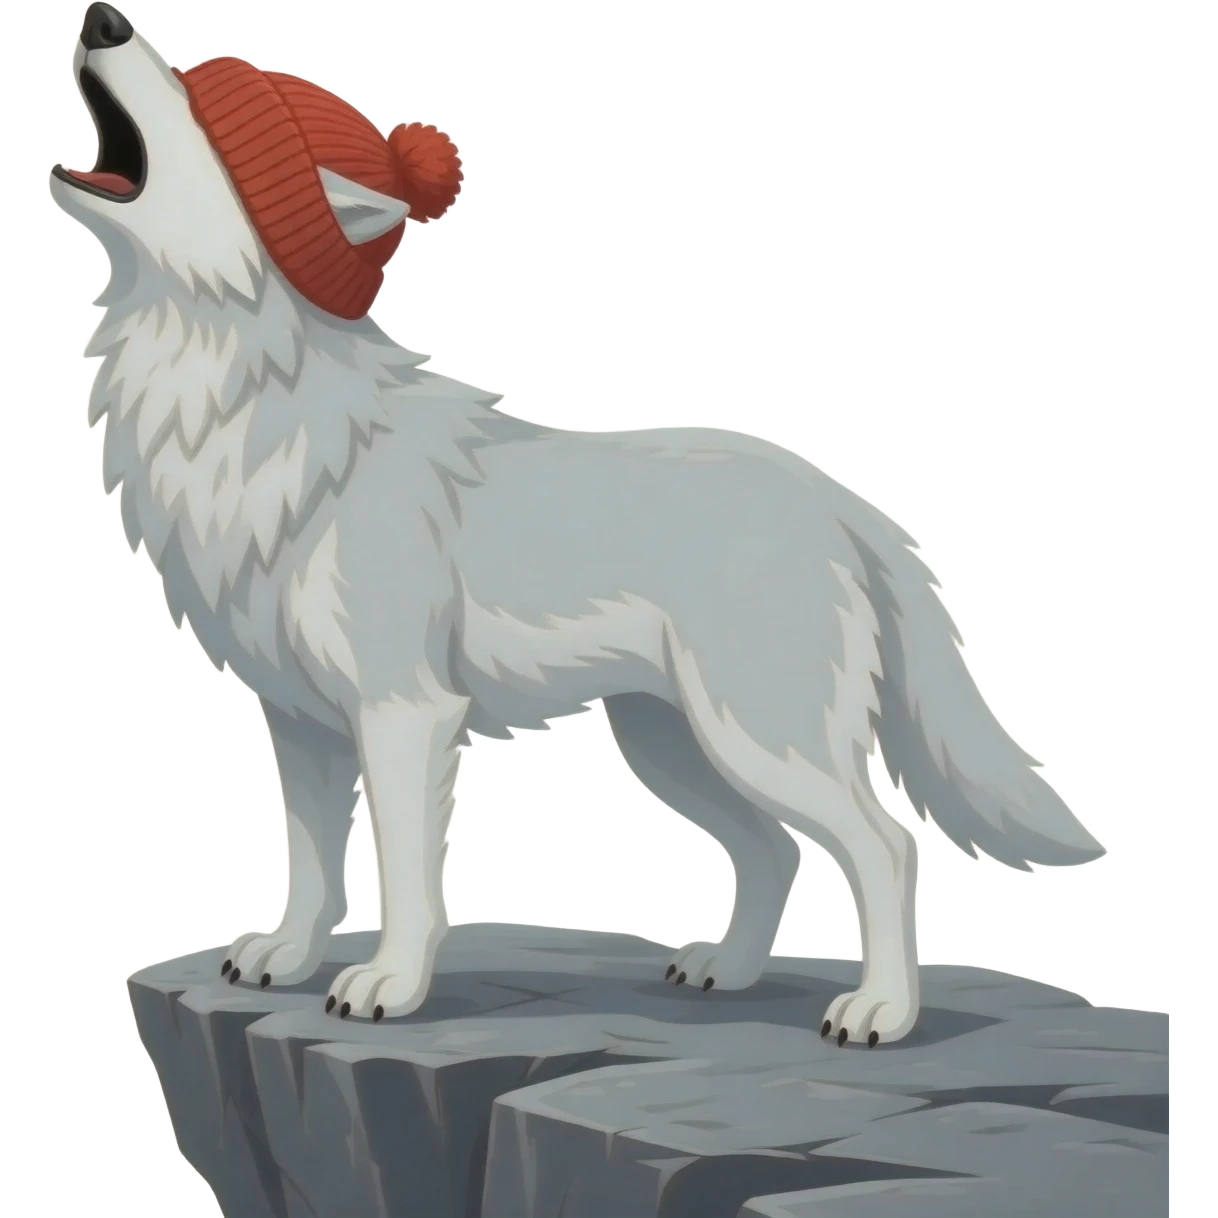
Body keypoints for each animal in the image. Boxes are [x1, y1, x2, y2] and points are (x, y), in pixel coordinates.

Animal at [54, 3, 1107, 1046]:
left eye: (194, 98)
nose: (101, 17)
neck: (236, 396)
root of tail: (849, 502)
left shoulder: (405, 716)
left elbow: (405, 882)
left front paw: (389, 986)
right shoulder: (303, 724)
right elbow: (310, 868)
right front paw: (286, 960)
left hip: (756, 739)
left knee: (885, 845)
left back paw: (880, 1011)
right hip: (672, 747)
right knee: (774, 851)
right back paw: (726, 973)